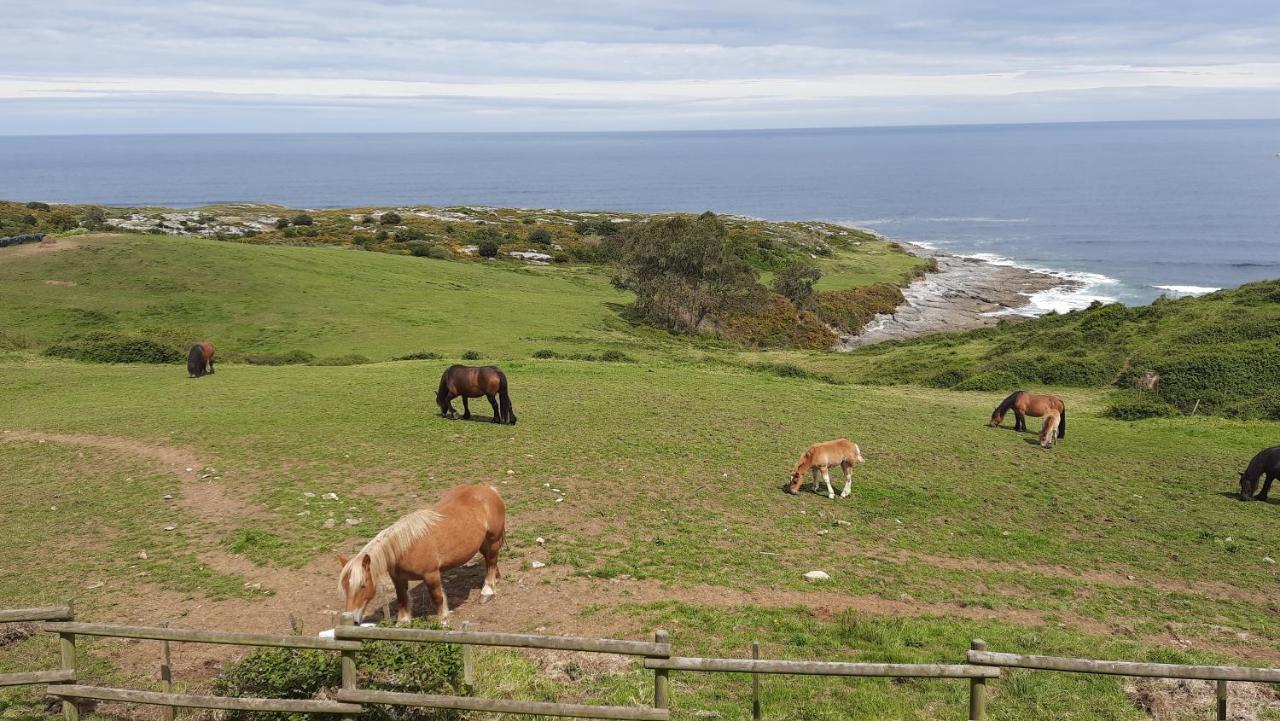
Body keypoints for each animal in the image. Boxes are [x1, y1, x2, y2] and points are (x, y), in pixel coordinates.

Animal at [335, 484, 504, 627]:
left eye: (362, 585)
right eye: (345, 587)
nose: (352, 620)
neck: (406, 547)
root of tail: (490, 489)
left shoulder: (431, 575)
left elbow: (438, 597)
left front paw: (443, 621)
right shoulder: (398, 579)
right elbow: (402, 598)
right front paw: (403, 622)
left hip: (493, 540)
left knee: (491, 561)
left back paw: (487, 591)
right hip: (482, 543)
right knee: (490, 561)